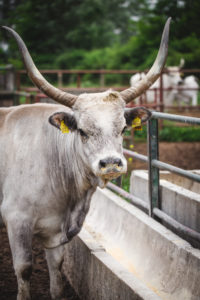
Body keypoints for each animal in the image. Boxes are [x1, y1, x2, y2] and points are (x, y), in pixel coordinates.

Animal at [0, 18, 170, 300]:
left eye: (123, 128)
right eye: (82, 130)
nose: (111, 163)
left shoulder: (56, 233)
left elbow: (56, 272)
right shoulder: (16, 220)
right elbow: (24, 269)